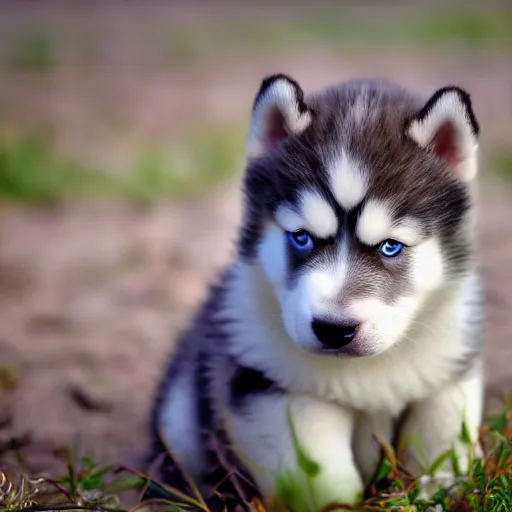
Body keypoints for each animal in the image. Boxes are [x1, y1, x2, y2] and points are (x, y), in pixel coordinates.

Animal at [147, 74, 484, 510]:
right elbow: (325, 481)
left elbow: (439, 449)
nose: (333, 329)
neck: (366, 374)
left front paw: (431, 494)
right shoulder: (274, 393)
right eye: (302, 237)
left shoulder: (448, 377)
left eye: (390, 247)